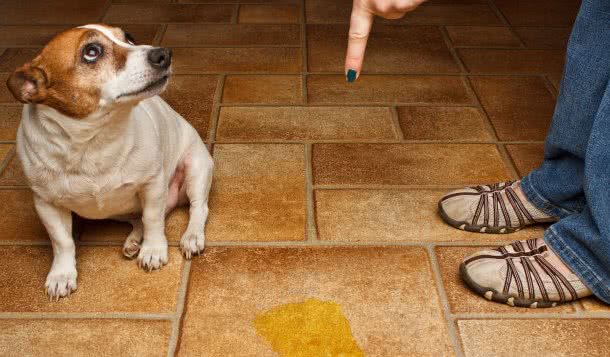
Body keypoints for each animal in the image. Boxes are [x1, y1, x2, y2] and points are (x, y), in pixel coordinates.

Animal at [4, 23, 213, 298]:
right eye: (91, 52)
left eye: (130, 38)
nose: (163, 54)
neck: (93, 140)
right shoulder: (46, 203)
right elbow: (62, 241)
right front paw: (62, 274)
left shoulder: (152, 184)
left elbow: (153, 218)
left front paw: (153, 249)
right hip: (115, 211)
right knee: (138, 218)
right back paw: (135, 240)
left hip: (196, 167)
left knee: (197, 208)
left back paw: (190, 237)